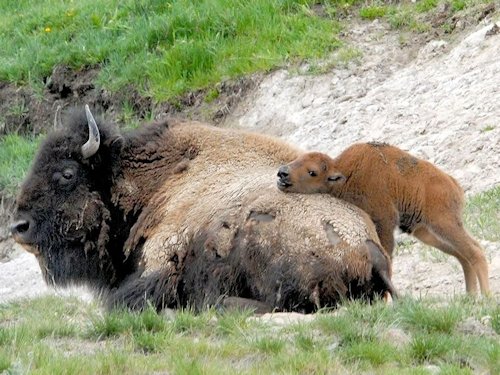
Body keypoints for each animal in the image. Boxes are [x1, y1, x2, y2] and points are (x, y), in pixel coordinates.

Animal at [280, 142, 490, 296]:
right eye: (297, 160)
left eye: (312, 172)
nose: (282, 173)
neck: (346, 175)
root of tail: (453, 184)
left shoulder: (384, 224)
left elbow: (386, 260)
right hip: (426, 233)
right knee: (462, 256)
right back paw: (470, 298)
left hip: (444, 225)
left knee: (475, 251)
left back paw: (486, 299)